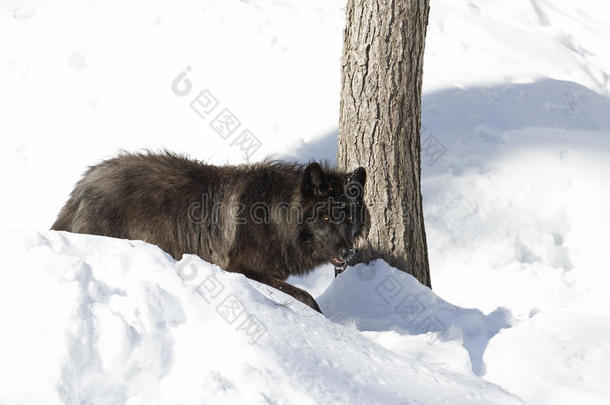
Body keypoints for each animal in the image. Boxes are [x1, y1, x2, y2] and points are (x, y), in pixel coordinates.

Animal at [52, 150, 364, 310]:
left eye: (348, 217)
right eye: (325, 217)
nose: (348, 252)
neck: (274, 216)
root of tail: (82, 184)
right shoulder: (238, 268)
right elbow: (307, 298)